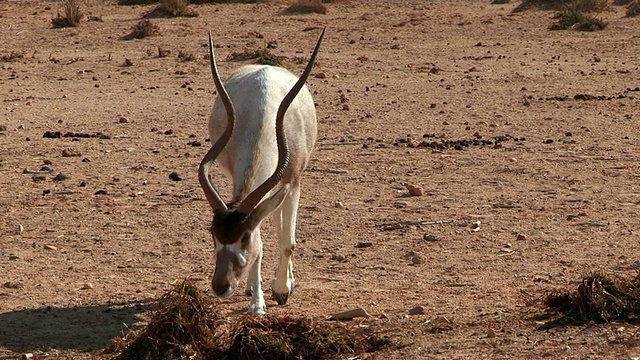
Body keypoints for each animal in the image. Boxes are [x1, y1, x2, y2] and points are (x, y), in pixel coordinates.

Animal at [199, 28, 324, 316]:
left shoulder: (294, 181)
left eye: (244, 236)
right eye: (213, 233)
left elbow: (287, 241)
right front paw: (257, 302)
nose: (220, 287)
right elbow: (263, 244)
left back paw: (287, 280)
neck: (263, 115)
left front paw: (281, 290)